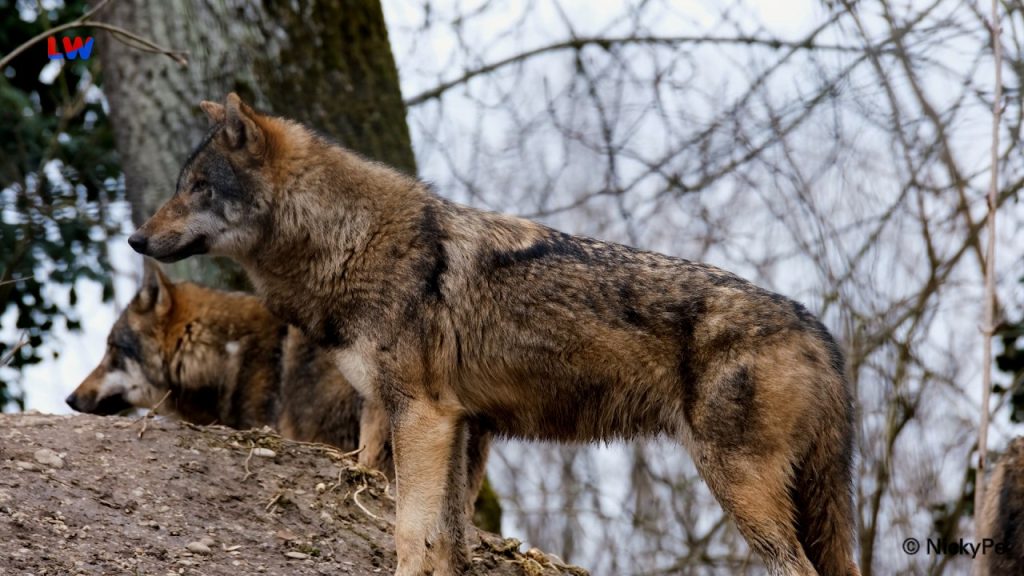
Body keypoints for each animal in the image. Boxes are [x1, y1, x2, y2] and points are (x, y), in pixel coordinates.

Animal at [128, 93, 860, 576]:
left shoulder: (421, 418)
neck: (350, 242)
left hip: (740, 487)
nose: (135, 239)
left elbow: (408, 533)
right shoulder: (462, 429)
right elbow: (448, 541)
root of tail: (822, 331)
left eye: (199, 187)